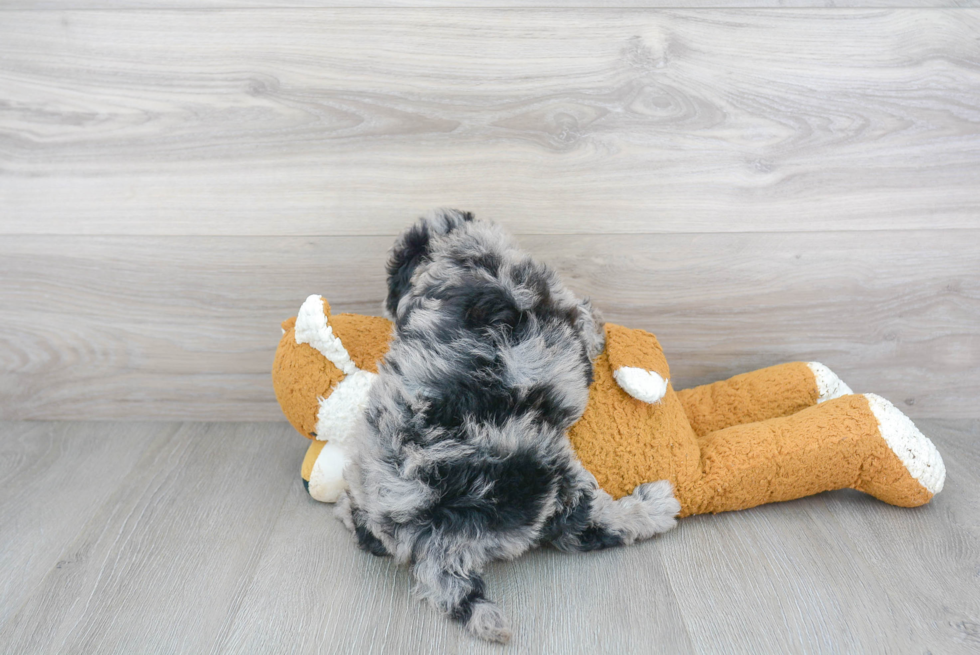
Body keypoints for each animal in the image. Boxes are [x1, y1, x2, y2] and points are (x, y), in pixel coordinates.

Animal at [334, 213, 676, 644]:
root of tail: (429, 532)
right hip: (541, 480)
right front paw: (597, 331)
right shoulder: (558, 301)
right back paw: (655, 507)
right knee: (585, 526)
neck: (457, 254)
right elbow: (584, 317)